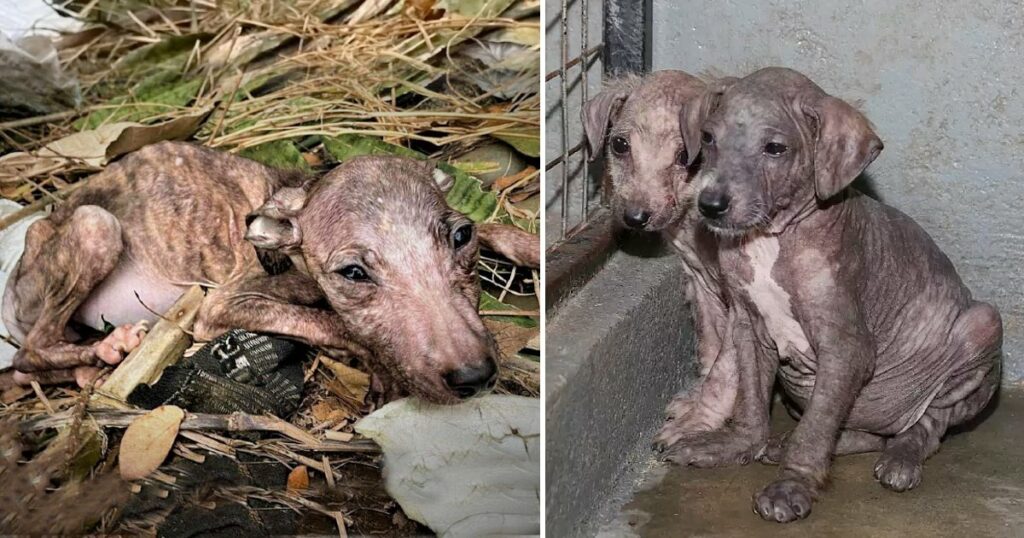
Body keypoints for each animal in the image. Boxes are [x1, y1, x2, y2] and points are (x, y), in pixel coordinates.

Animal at [0, 141, 540, 401]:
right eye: (352, 273)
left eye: (461, 238)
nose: (475, 377)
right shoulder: (219, 306)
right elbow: (329, 321)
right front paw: (376, 364)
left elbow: (496, 228)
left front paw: (531, 245)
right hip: (95, 225)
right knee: (31, 350)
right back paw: (109, 348)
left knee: (29, 366)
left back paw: (94, 364)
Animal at [581, 71, 741, 446]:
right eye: (619, 145)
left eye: (686, 156)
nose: (636, 217)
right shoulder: (701, 286)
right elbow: (710, 348)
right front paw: (696, 403)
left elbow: (725, 366)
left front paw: (698, 421)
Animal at [675, 67, 1003, 520]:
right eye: (708, 138)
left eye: (774, 148)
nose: (710, 205)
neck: (772, 239)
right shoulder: (748, 328)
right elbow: (752, 400)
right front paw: (737, 445)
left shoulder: (847, 349)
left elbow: (815, 429)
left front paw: (792, 485)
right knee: (862, 432)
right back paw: (783, 445)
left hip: (983, 325)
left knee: (927, 424)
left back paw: (902, 457)